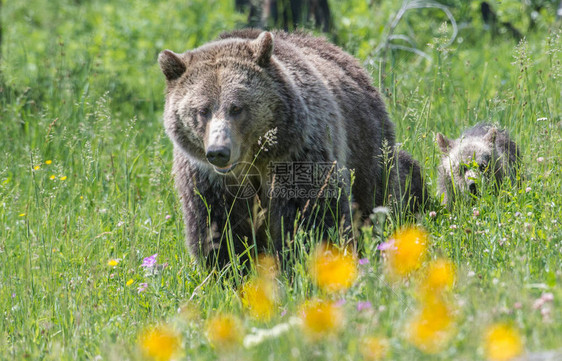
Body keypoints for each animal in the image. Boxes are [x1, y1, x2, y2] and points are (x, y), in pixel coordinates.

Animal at [158, 29, 402, 268]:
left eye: (236, 108)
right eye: (203, 110)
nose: (219, 152)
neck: (253, 161)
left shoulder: (296, 156)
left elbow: (309, 216)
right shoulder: (207, 179)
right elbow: (218, 227)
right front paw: (231, 268)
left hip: (365, 141)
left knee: (374, 193)